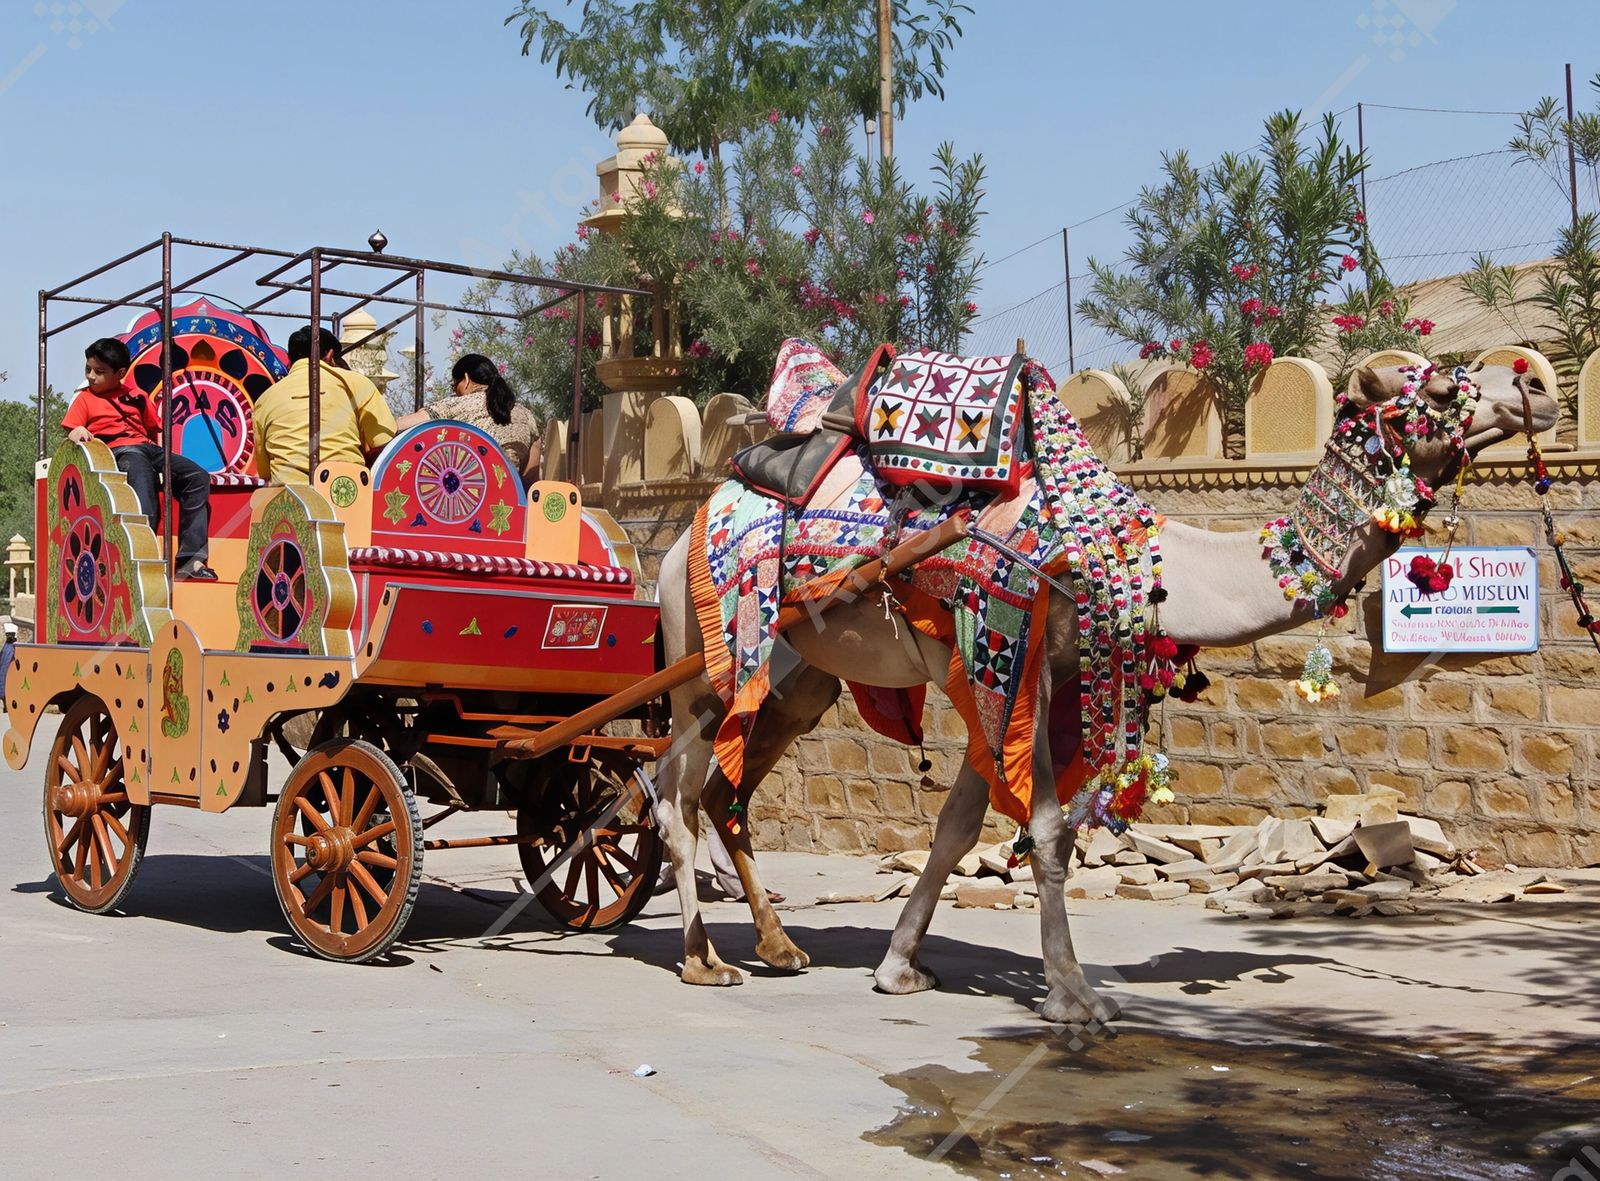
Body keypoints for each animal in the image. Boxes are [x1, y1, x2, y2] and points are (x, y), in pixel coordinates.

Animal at [651, 362, 1558, 1023]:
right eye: (1436, 392)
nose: (1540, 385)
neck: (1130, 559)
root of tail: (675, 546)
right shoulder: (1015, 665)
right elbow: (1048, 834)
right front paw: (1076, 995)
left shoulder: (1015, 683)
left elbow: (956, 828)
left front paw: (899, 966)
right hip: (701, 655)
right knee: (671, 788)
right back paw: (703, 959)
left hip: (799, 677)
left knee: (728, 792)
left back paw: (778, 947)